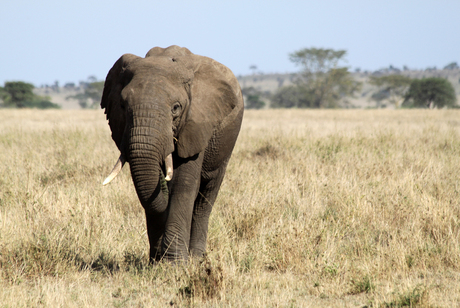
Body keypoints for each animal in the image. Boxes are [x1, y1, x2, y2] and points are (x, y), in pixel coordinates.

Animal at [100, 45, 244, 262]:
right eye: (123, 106)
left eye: (176, 108)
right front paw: (155, 262)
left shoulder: (197, 123)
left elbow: (184, 184)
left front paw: (174, 263)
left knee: (205, 197)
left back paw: (196, 259)